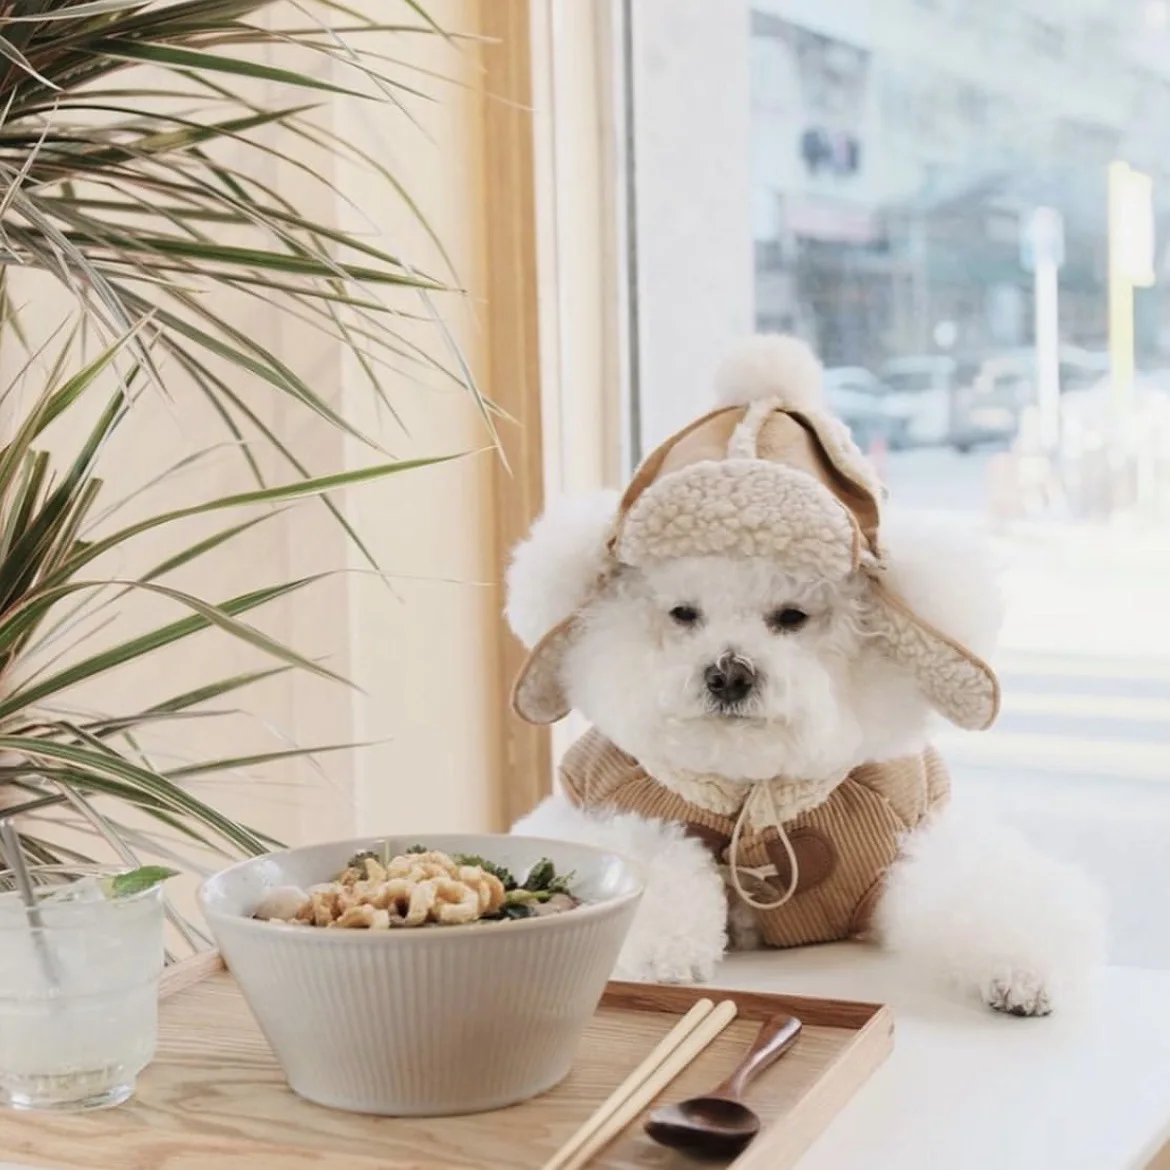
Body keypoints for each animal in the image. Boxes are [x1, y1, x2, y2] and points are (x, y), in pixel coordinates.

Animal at [505, 336, 1104, 1015]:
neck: (753, 788)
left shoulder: (915, 823)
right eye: (683, 613)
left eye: (791, 616)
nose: (729, 674)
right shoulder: (600, 799)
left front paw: (1021, 970)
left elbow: (979, 882)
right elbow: (650, 854)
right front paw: (667, 953)